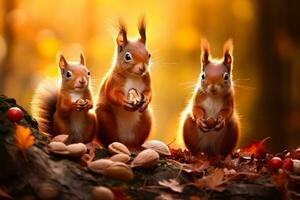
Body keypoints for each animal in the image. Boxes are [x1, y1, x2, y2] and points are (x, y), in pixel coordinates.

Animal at [95, 18, 152, 149]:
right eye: (127, 56)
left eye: (149, 55)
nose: (143, 68)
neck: (133, 76)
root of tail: (126, 142)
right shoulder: (113, 81)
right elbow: (112, 94)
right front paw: (124, 102)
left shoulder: (147, 79)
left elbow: (149, 92)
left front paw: (146, 100)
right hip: (104, 117)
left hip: (146, 118)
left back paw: (137, 146)